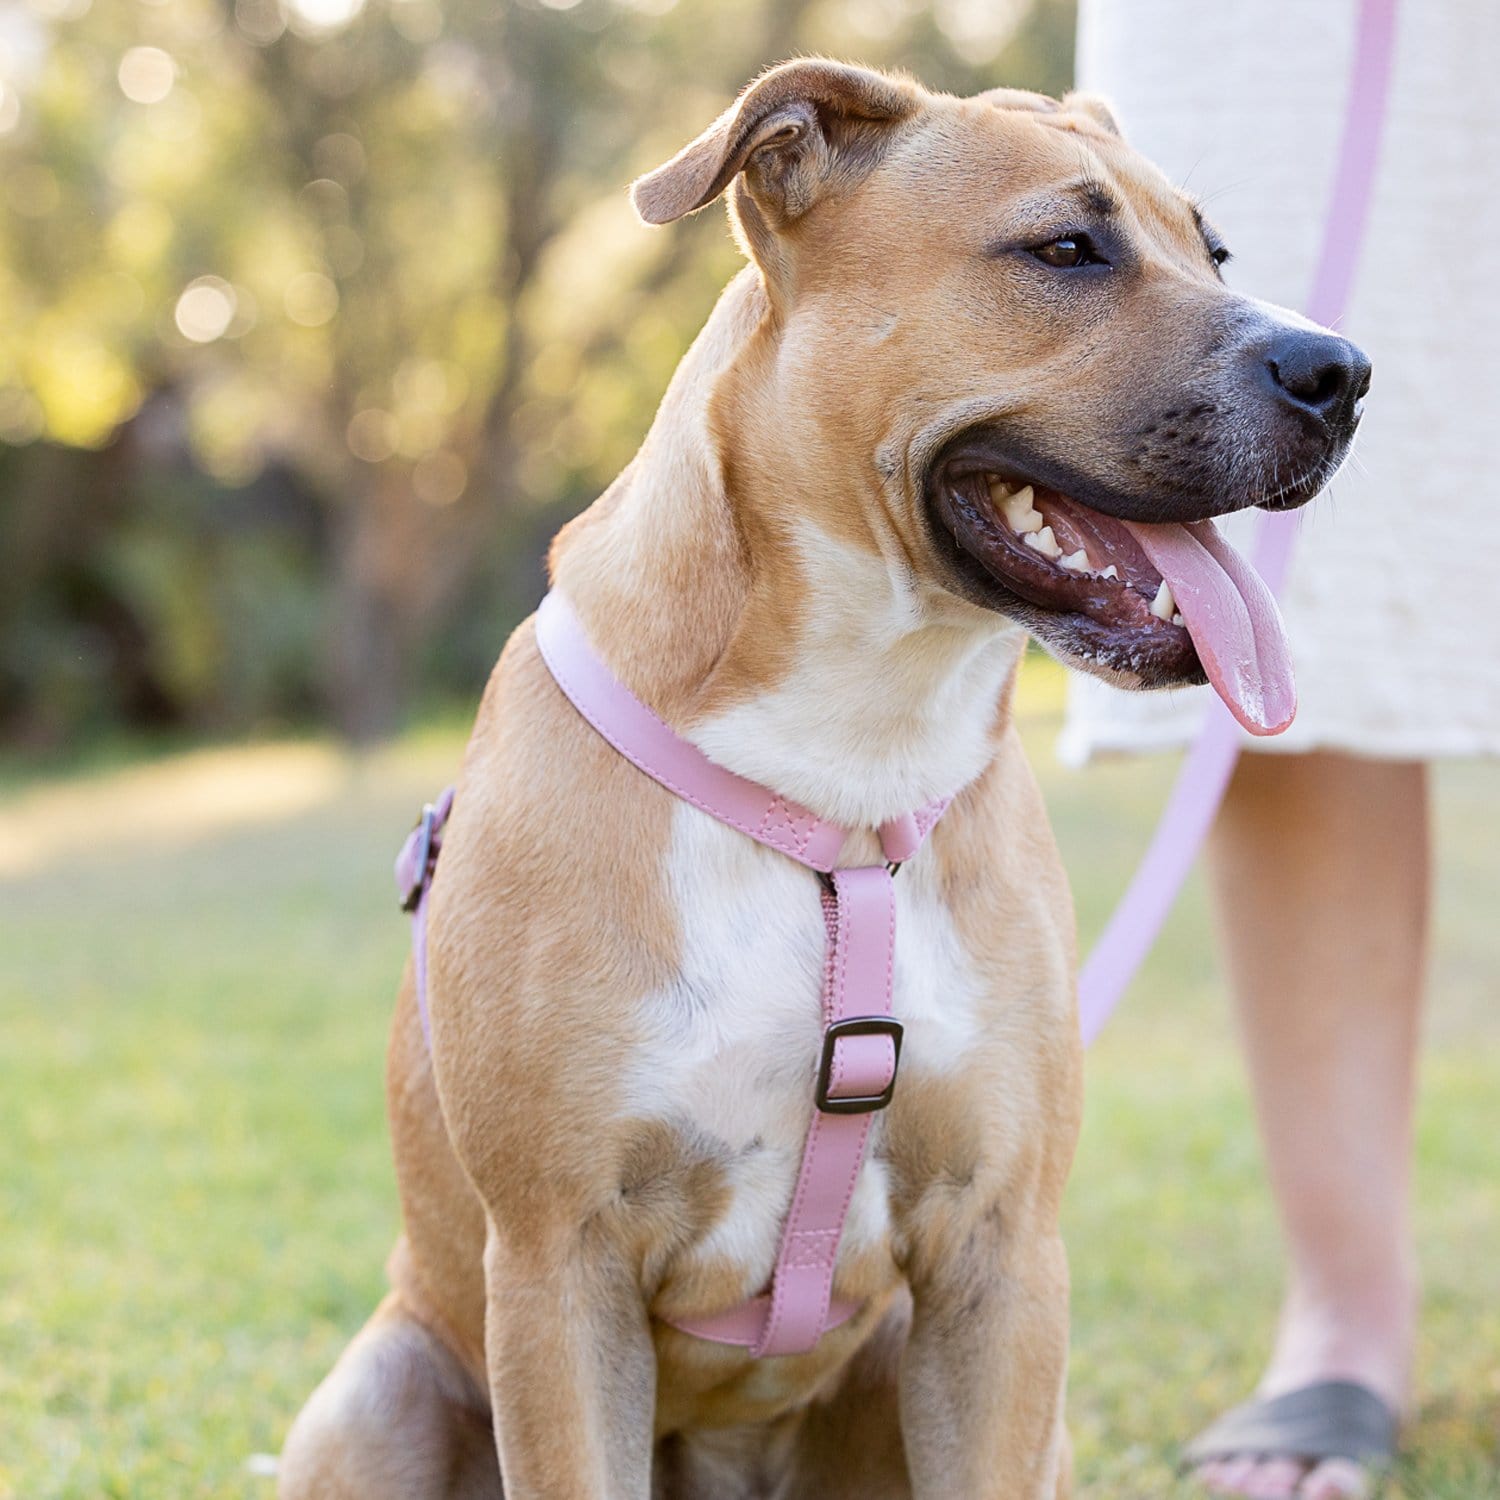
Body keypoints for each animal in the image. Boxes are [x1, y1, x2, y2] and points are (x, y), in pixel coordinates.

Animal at [279, 58, 1374, 1500]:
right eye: (1064, 250)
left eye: (1216, 251)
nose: (1343, 369)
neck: (844, 770)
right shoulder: (559, 1269)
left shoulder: (1002, 1262)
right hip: (381, 1394)